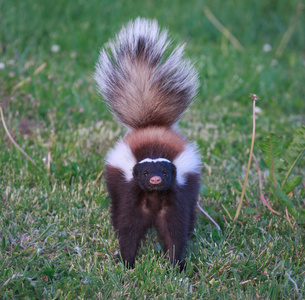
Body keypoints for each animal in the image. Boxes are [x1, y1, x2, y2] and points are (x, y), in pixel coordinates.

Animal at [94, 17, 201, 270]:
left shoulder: (176, 193)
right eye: (144, 173)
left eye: (164, 171)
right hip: (115, 184)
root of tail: (151, 125)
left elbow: (174, 229)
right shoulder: (130, 190)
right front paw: (128, 262)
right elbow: (129, 227)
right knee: (116, 211)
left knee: (190, 212)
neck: (153, 196)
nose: (154, 180)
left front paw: (176, 264)